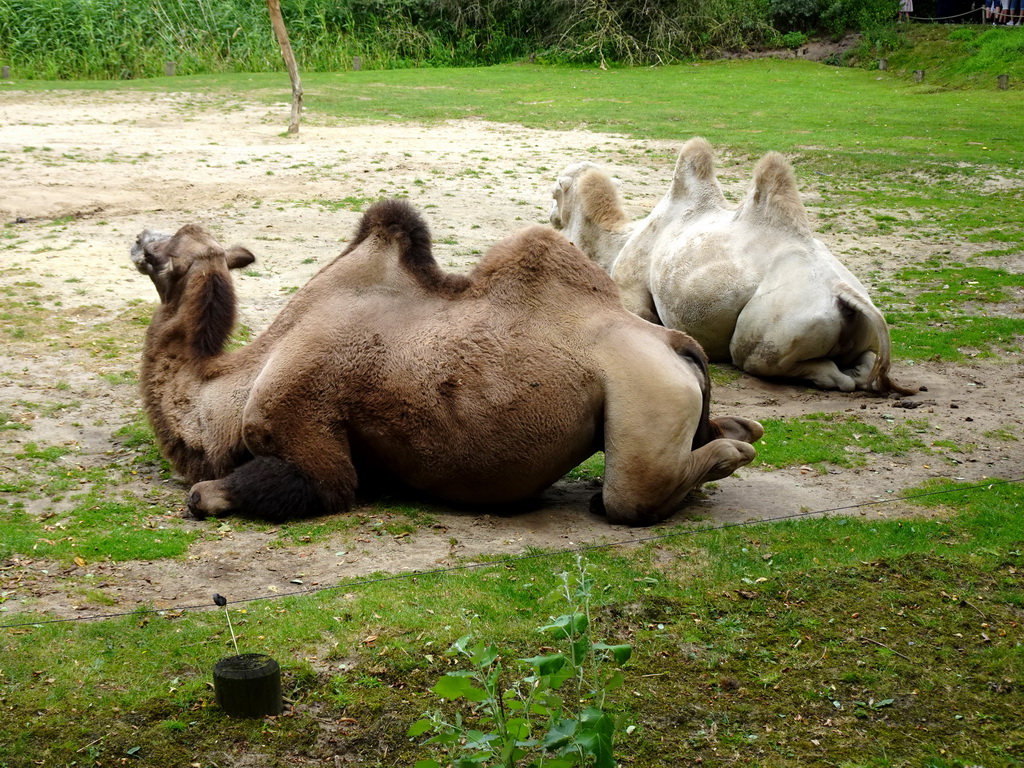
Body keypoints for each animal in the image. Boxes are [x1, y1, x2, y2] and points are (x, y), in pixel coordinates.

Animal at [130, 196, 761, 528]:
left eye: (170, 251)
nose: (138, 238)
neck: (228, 393)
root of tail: (674, 342)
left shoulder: (307, 433)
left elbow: (209, 493)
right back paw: (741, 430)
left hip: (647, 396)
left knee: (628, 496)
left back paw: (734, 454)